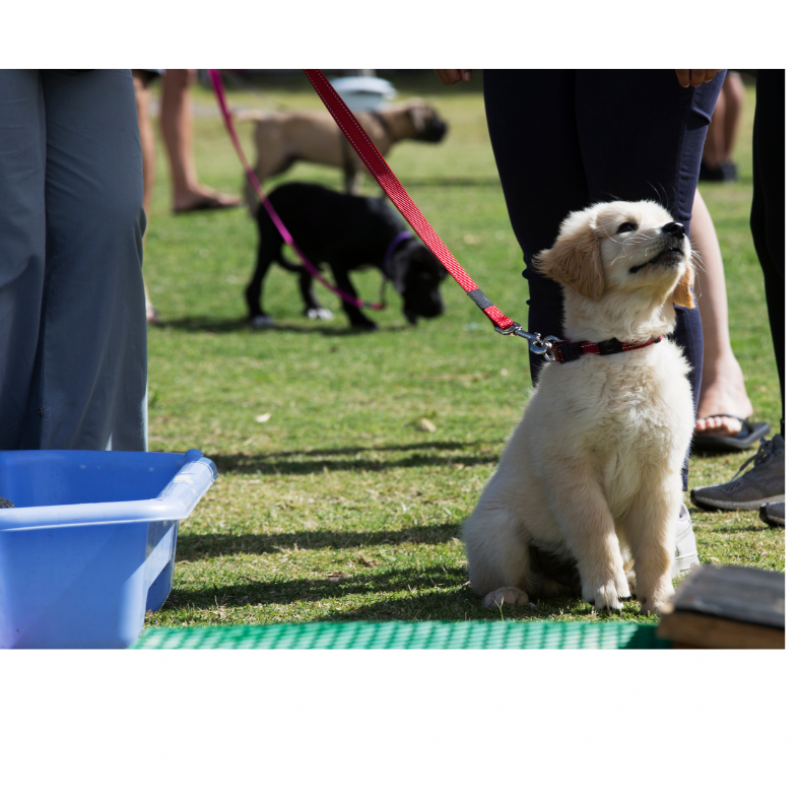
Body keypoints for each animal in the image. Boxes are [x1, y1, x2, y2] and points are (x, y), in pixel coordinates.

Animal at [244, 183, 450, 330]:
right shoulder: (336, 258)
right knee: (255, 283)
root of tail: (274, 191)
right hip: (270, 241)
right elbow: (349, 291)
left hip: (312, 253)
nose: (440, 310)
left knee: (304, 279)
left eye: (440, 280)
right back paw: (258, 315)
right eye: (424, 279)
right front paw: (361, 321)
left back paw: (315, 308)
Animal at [460, 200, 696, 612]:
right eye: (626, 227)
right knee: (507, 580)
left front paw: (659, 598)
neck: (621, 349)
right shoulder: (573, 469)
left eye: (667, 219)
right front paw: (605, 588)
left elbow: (658, 545)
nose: (677, 229)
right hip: (497, 530)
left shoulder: (661, 472)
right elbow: (595, 530)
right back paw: (507, 594)